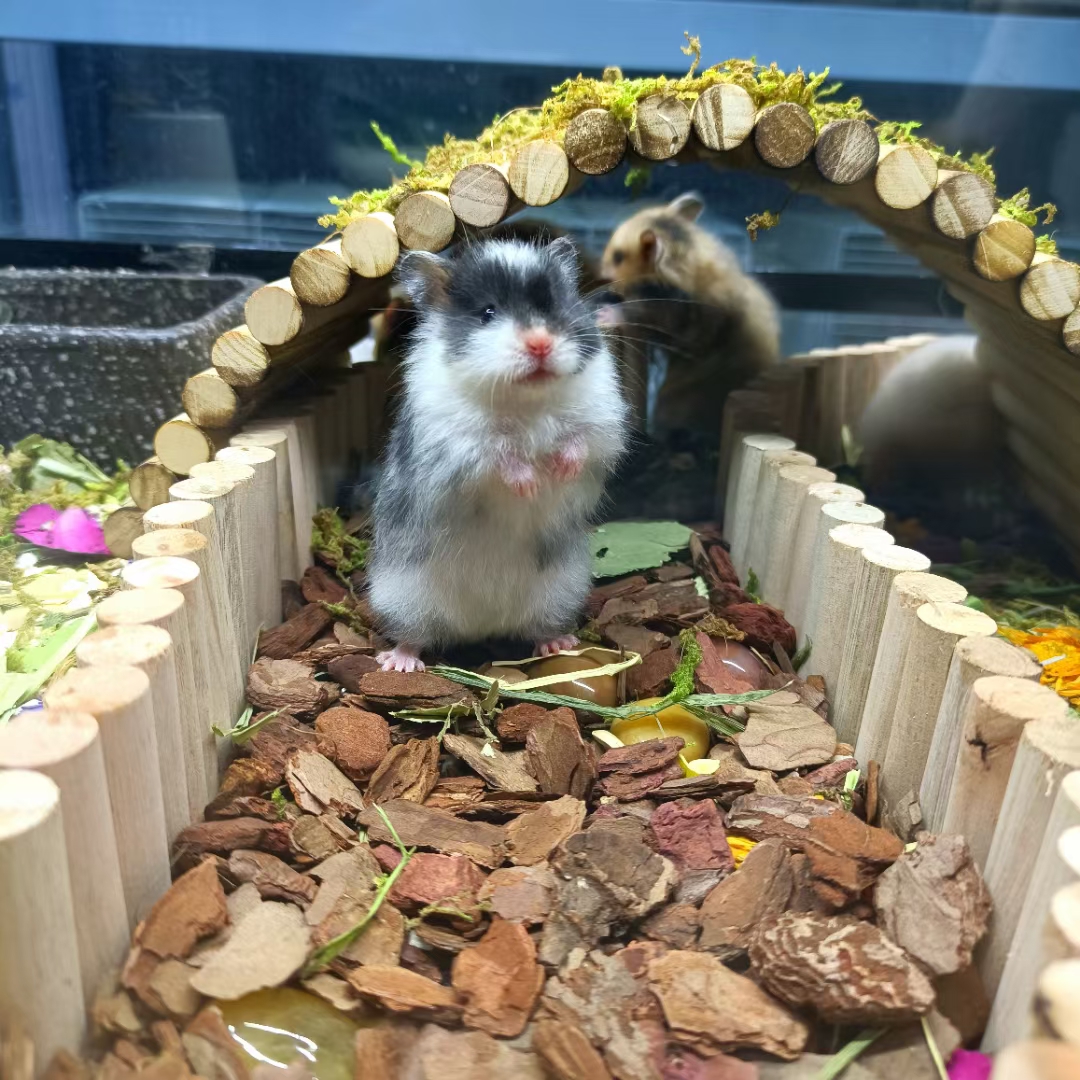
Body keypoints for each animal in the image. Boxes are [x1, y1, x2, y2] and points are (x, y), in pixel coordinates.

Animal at [368, 237, 630, 672]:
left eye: (554, 304)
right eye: (487, 313)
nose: (540, 343)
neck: (524, 398)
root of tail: (483, 626)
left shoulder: (601, 422)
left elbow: (578, 443)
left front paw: (559, 471)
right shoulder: (459, 446)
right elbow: (501, 458)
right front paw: (531, 485)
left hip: (561, 590)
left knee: (540, 628)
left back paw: (559, 644)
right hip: (400, 595)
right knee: (413, 636)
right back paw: (399, 662)